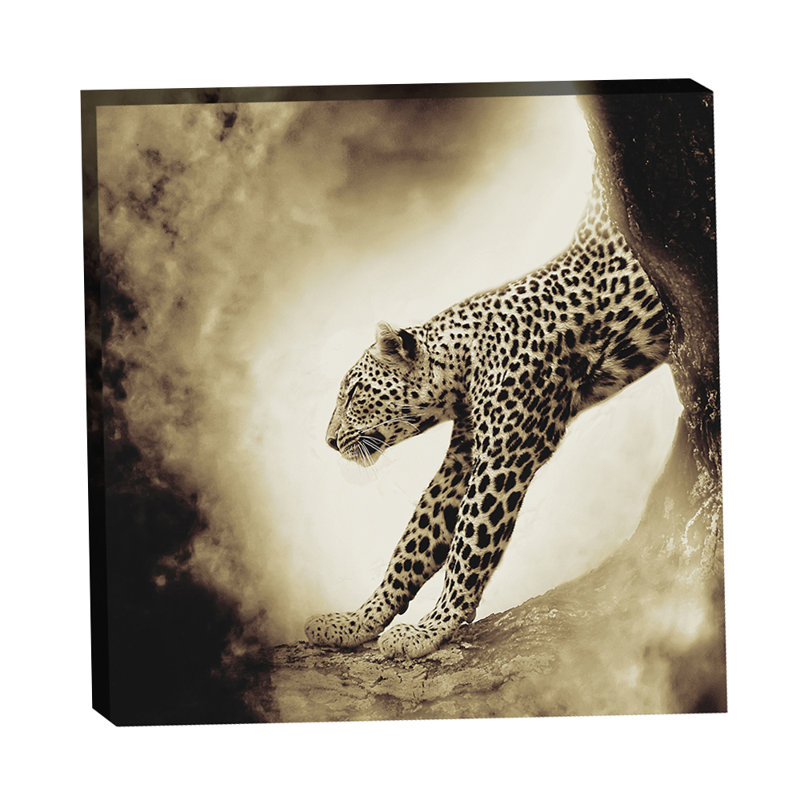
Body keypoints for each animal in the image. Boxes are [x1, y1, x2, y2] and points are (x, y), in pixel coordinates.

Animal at [305, 169, 671, 659]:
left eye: (353, 393)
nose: (328, 441)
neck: (463, 362)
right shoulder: (462, 458)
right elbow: (416, 540)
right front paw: (359, 620)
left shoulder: (502, 458)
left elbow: (468, 545)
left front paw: (432, 626)